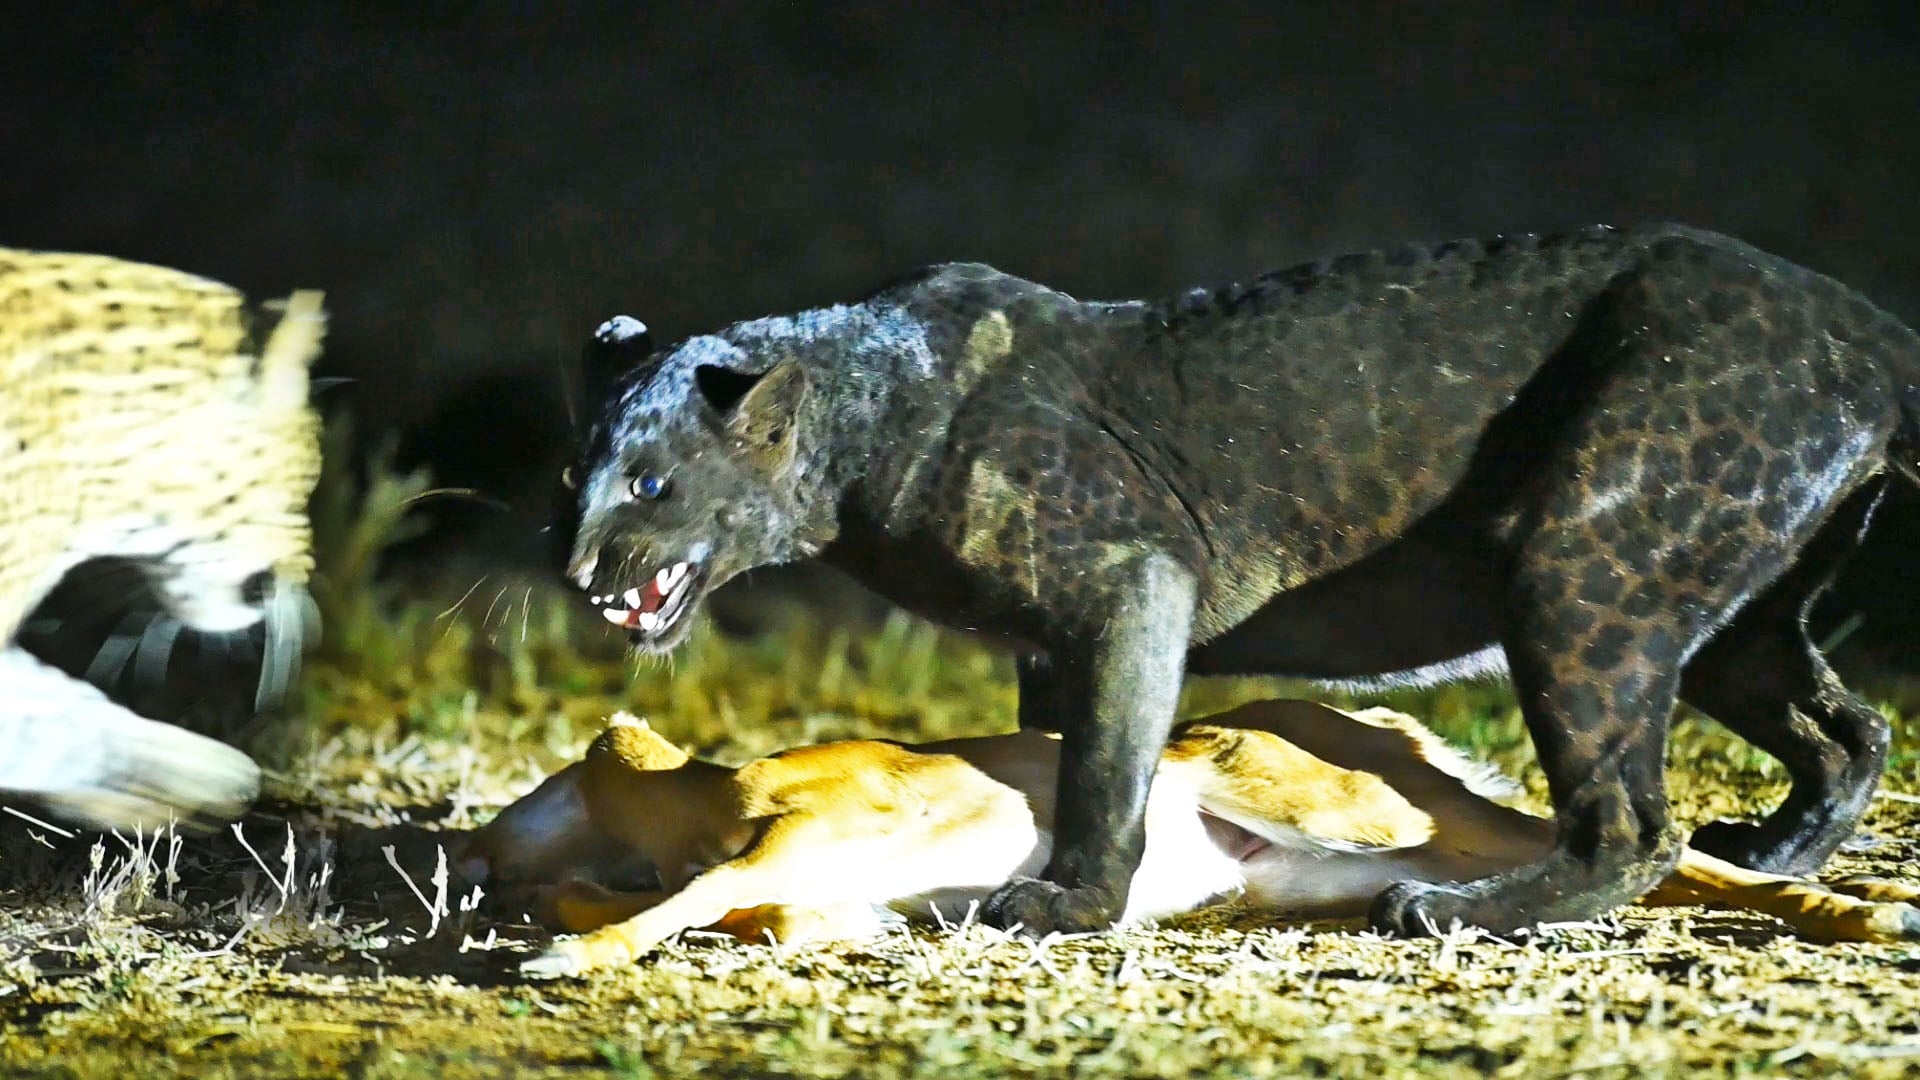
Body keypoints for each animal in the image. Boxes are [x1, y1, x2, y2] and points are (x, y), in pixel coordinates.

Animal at [555, 223, 1920, 940]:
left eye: (651, 485)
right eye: (574, 468)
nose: (574, 570)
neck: (861, 420)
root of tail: (1861, 319)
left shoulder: (1128, 581)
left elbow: (1107, 765)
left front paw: (1065, 902)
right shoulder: (1050, 636)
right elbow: (1056, 749)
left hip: (1582, 563)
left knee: (1634, 818)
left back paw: (1455, 908)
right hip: (1728, 619)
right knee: (1850, 729)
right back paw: (1782, 845)